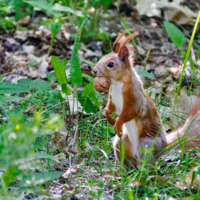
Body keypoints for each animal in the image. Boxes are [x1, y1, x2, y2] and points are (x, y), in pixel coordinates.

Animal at [93, 31, 200, 169]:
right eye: (103, 57)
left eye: (110, 64)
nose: (94, 70)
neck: (117, 83)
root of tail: (163, 147)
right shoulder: (113, 98)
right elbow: (110, 107)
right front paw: (109, 117)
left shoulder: (134, 97)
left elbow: (130, 111)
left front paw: (117, 122)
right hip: (122, 142)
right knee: (129, 160)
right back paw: (126, 171)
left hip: (145, 145)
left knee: (148, 164)